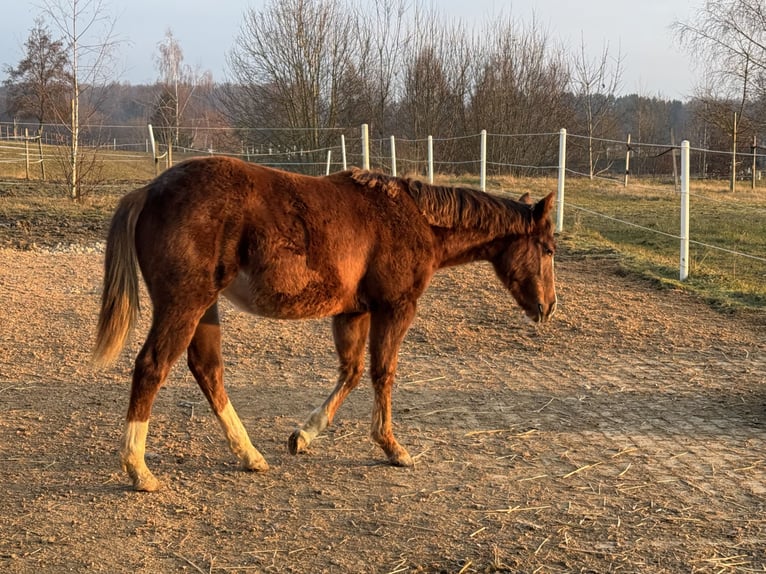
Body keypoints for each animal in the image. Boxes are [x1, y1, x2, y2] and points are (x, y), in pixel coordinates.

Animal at [92, 156, 557, 491]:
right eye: (549, 248)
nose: (548, 307)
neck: (413, 218)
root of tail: (149, 191)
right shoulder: (395, 308)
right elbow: (382, 373)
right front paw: (392, 447)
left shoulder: (353, 312)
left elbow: (351, 372)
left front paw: (304, 435)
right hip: (185, 305)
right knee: (152, 367)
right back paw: (139, 470)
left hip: (204, 308)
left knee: (208, 370)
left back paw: (250, 456)